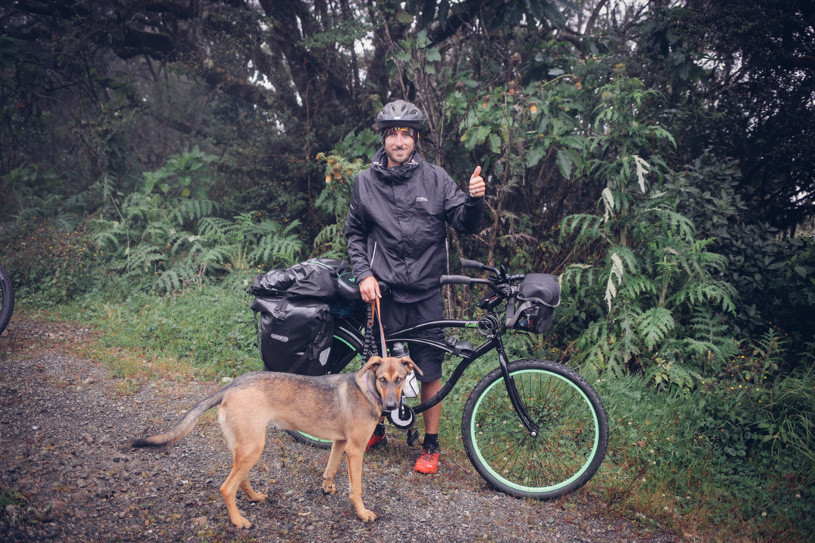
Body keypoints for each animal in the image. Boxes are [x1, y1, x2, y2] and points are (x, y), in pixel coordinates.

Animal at [133, 354, 420, 528]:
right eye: (382, 379)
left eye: (400, 379)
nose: (392, 407)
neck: (368, 389)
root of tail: (231, 386)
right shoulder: (355, 449)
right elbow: (356, 488)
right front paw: (362, 513)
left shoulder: (340, 444)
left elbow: (330, 469)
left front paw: (327, 488)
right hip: (253, 447)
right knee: (226, 488)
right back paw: (238, 521)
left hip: (245, 446)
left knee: (241, 479)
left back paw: (254, 497)